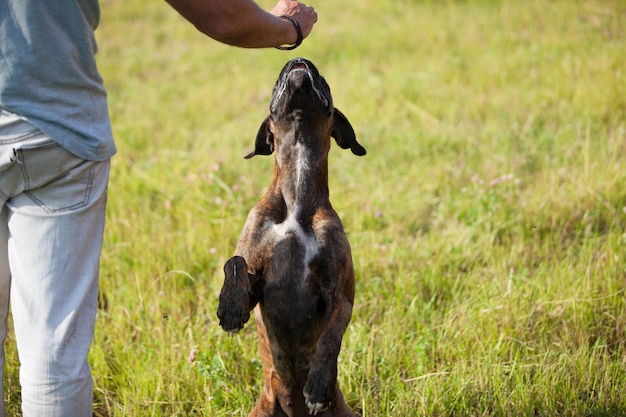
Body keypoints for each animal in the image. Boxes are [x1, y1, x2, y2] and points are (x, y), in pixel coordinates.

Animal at [217, 57, 364, 416]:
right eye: (274, 83)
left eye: (324, 80)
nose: (299, 60)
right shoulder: (256, 281)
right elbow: (235, 261)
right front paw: (230, 307)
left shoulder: (340, 296)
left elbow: (330, 339)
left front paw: (319, 385)